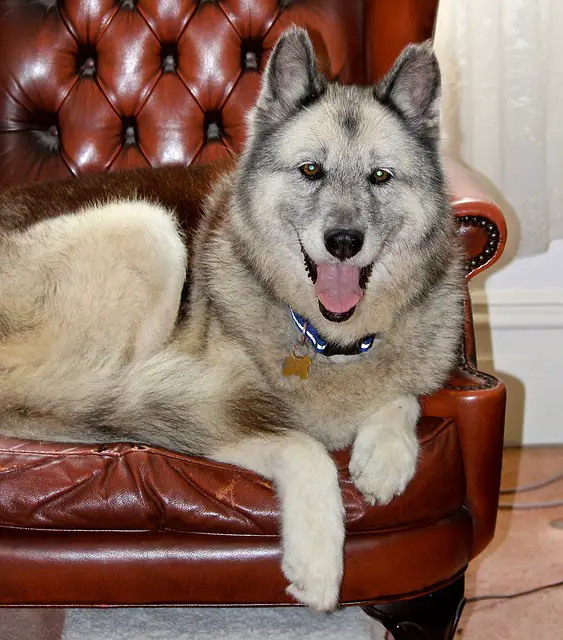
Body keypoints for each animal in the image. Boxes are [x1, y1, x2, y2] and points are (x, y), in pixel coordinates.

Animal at [0, 28, 462, 608]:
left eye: (381, 176)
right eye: (311, 170)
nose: (343, 241)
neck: (328, 339)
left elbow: (403, 396)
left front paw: (386, 454)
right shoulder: (220, 415)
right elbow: (303, 446)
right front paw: (318, 560)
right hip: (146, 229)